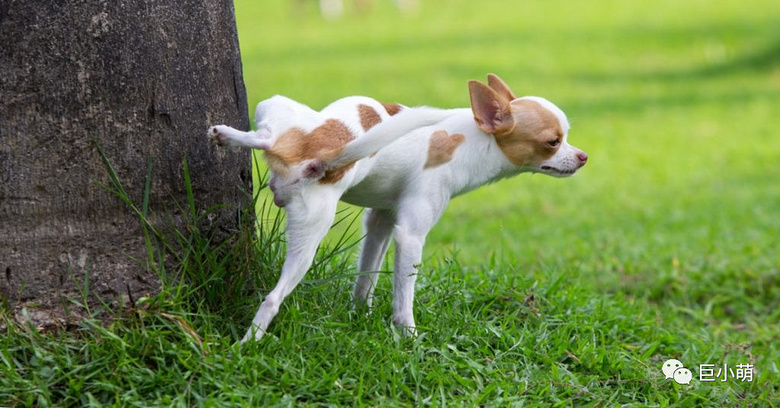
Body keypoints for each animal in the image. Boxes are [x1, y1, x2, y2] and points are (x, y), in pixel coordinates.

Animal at [207, 74, 584, 342]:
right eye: (553, 142)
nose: (583, 156)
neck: (472, 138)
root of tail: (321, 155)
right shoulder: (410, 235)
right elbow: (404, 298)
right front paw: (409, 339)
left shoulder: (381, 222)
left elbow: (367, 277)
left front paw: (360, 315)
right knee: (273, 298)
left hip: (281, 128)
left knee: (268, 137)